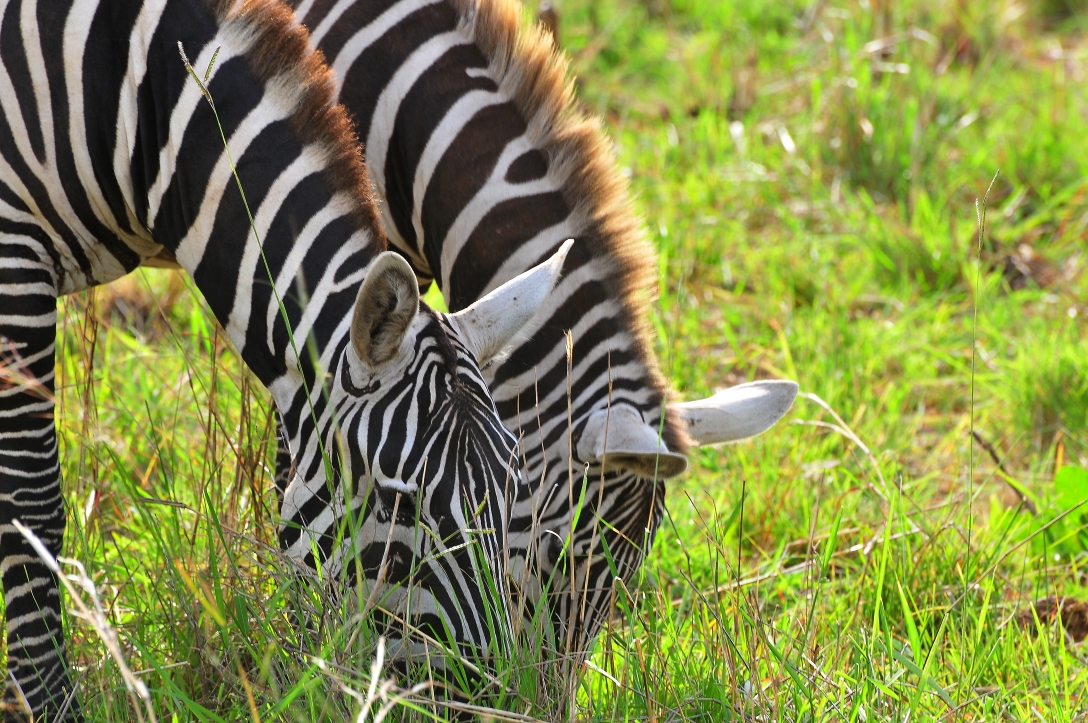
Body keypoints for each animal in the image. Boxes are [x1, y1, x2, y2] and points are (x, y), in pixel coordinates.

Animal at [0, 0, 574, 717]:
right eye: (399, 506)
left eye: (514, 490)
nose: (490, 703)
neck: (137, 98)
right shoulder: (13, 253)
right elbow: (31, 508)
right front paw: (46, 704)